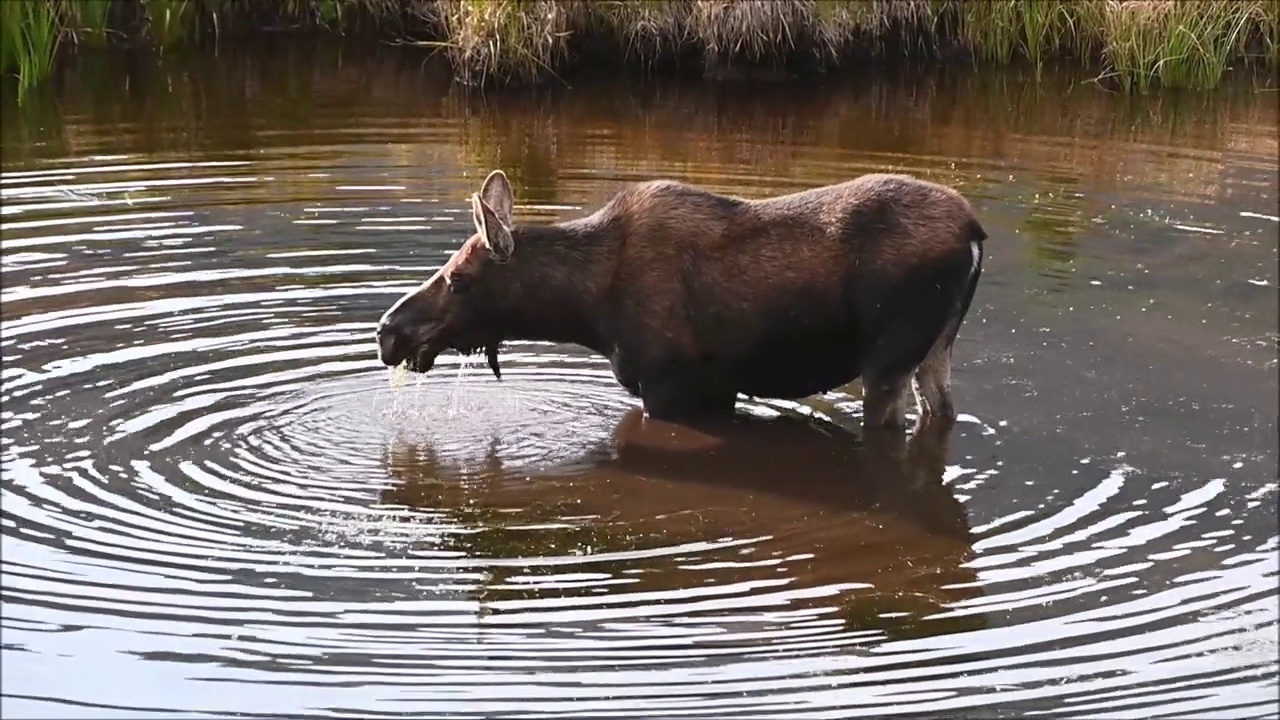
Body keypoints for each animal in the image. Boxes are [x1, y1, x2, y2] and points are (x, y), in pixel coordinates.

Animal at [373, 167, 983, 425]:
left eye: (458, 279)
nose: (387, 331)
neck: (586, 312)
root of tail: (975, 232)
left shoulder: (665, 381)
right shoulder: (717, 387)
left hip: (889, 355)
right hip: (937, 349)